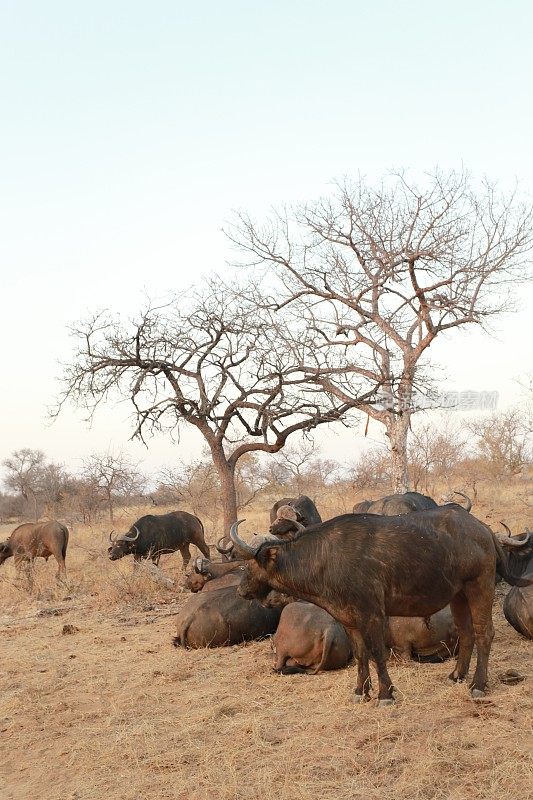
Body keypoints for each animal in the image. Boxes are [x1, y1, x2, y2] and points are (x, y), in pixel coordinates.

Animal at [230, 506, 528, 708]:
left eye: (250, 564)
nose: (241, 590)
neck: (325, 558)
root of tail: (483, 529)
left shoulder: (372, 614)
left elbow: (376, 654)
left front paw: (386, 694)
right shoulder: (349, 620)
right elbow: (362, 655)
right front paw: (360, 692)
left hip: (480, 586)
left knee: (484, 633)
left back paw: (478, 685)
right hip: (458, 596)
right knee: (466, 633)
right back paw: (456, 675)